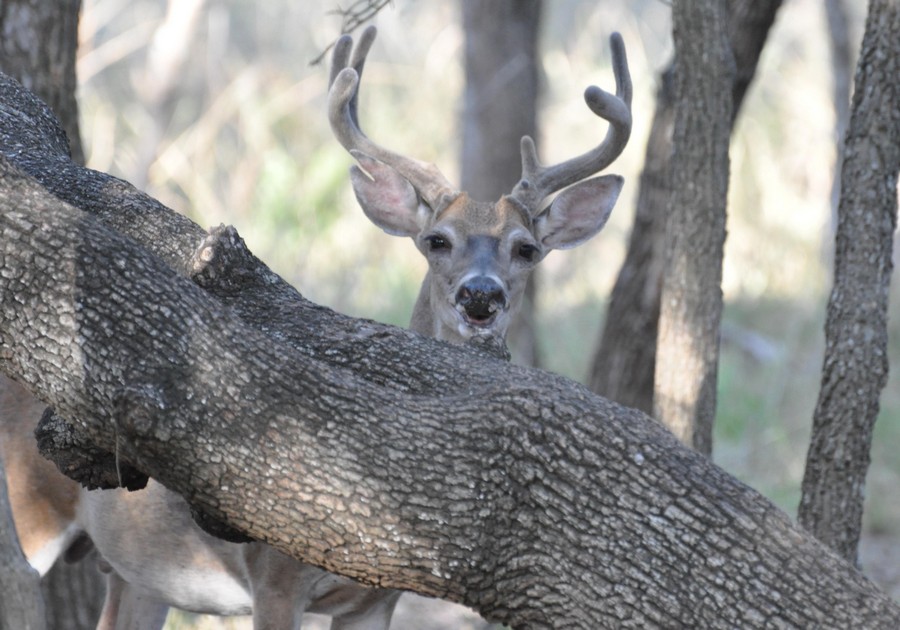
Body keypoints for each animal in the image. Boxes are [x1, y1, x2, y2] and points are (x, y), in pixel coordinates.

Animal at [0, 24, 632, 630]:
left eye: (526, 248)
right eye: (436, 240)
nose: (481, 295)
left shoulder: (377, 601)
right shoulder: (274, 574)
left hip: (138, 574)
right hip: (30, 507)